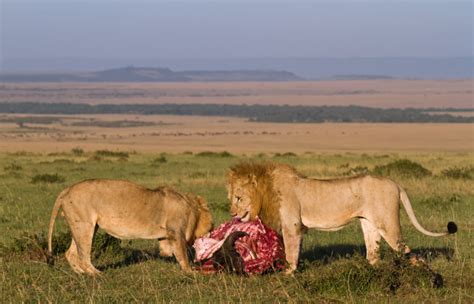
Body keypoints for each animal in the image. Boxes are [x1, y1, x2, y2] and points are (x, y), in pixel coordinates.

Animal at [46, 179, 213, 274]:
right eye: (211, 227)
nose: (212, 231)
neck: (191, 207)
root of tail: (67, 190)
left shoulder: (166, 235)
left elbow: (168, 251)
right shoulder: (176, 232)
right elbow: (182, 254)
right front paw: (190, 272)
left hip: (82, 226)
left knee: (70, 253)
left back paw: (81, 274)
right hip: (84, 226)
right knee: (83, 256)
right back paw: (97, 274)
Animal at [228, 163, 458, 274]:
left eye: (239, 198)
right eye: (230, 198)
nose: (232, 213)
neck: (265, 192)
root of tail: (395, 183)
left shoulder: (292, 226)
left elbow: (291, 252)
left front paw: (287, 274)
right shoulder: (298, 227)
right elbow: (296, 250)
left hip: (388, 224)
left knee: (411, 254)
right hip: (370, 225)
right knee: (373, 255)